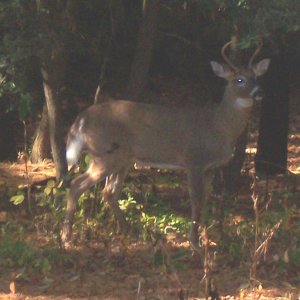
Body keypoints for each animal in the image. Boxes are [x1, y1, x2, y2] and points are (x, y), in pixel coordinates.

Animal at [61, 41, 272, 246]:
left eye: (256, 77)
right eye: (239, 80)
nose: (259, 92)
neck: (219, 126)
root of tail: (81, 118)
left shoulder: (212, 167)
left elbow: (205, 199)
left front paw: (206, 237)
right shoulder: (194, 160)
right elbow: (195, 199)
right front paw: (193, 241)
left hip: (123, 158)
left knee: (109, 192)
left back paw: (129, 230)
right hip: (104, 153)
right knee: (77, 185)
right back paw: (66, 236)